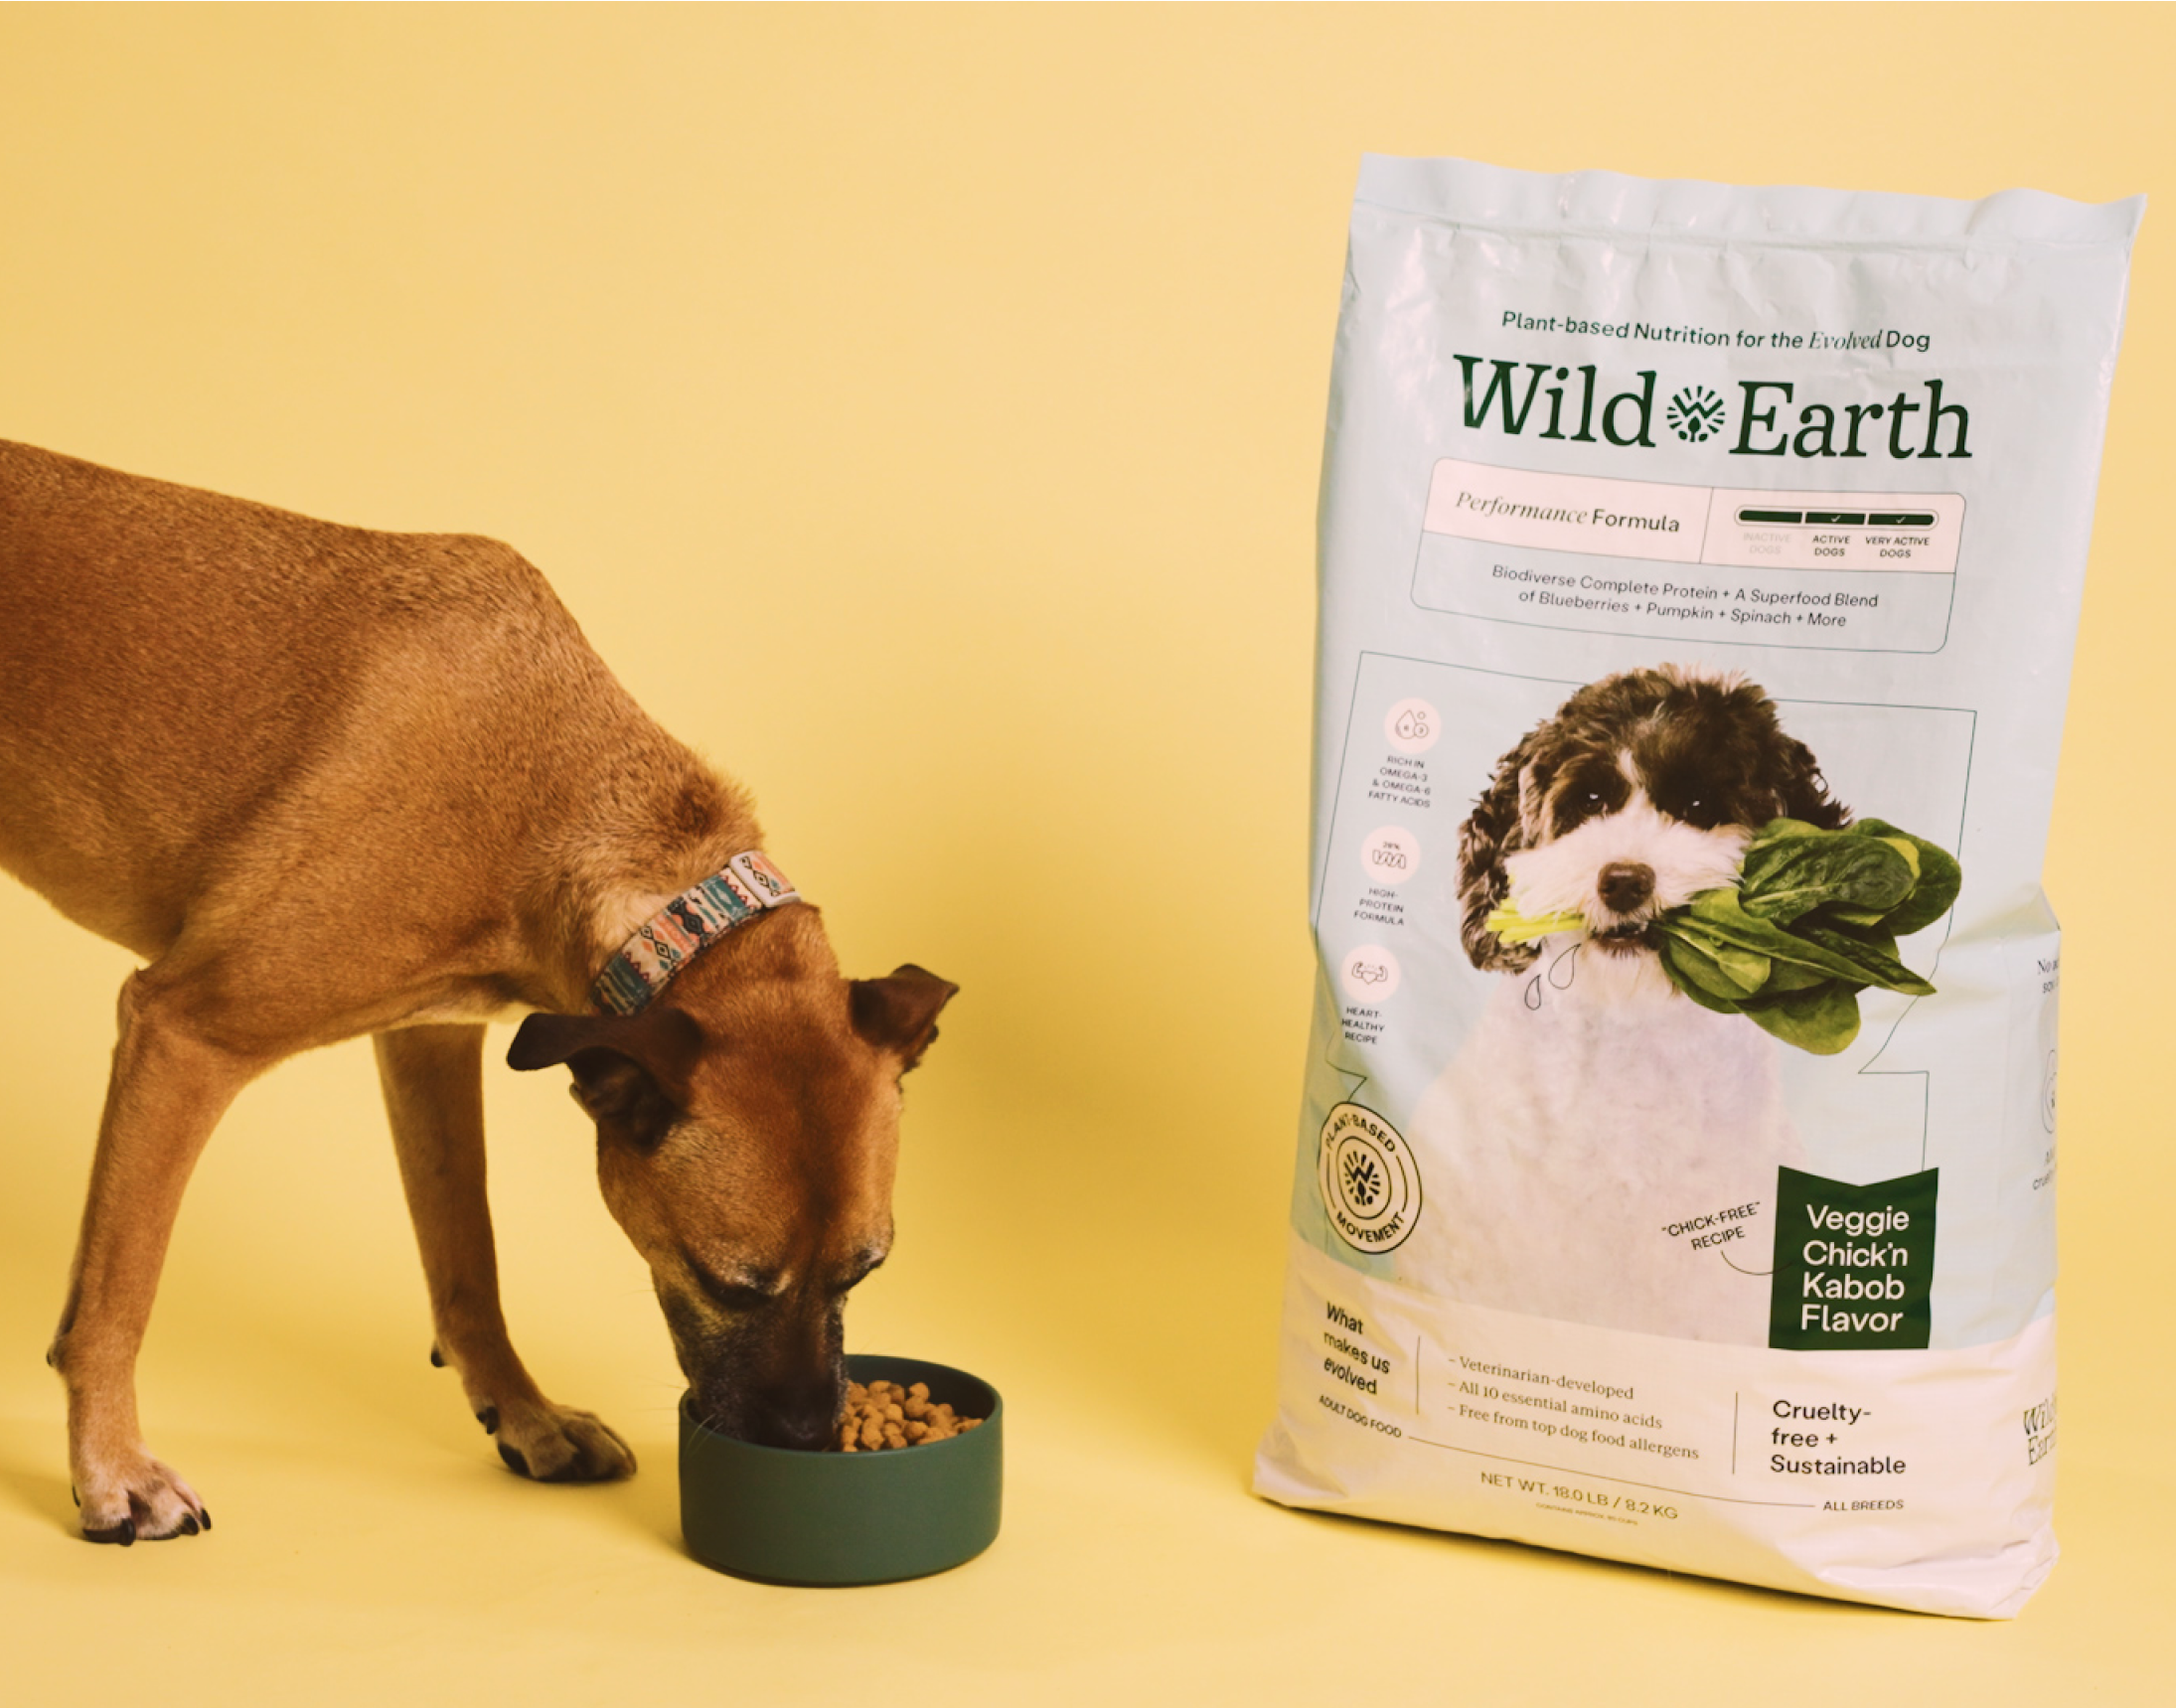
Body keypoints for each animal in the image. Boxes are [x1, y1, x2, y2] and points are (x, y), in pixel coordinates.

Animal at [0, 443, 953, 1549]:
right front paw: (111, 1467)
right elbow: (119, 1291)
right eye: (729, 1282)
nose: (806, 1441)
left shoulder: (434, 1044)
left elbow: (469, 1257)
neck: (556, 796)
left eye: (863, 1271)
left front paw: (526, 1412)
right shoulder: (183, 1032)